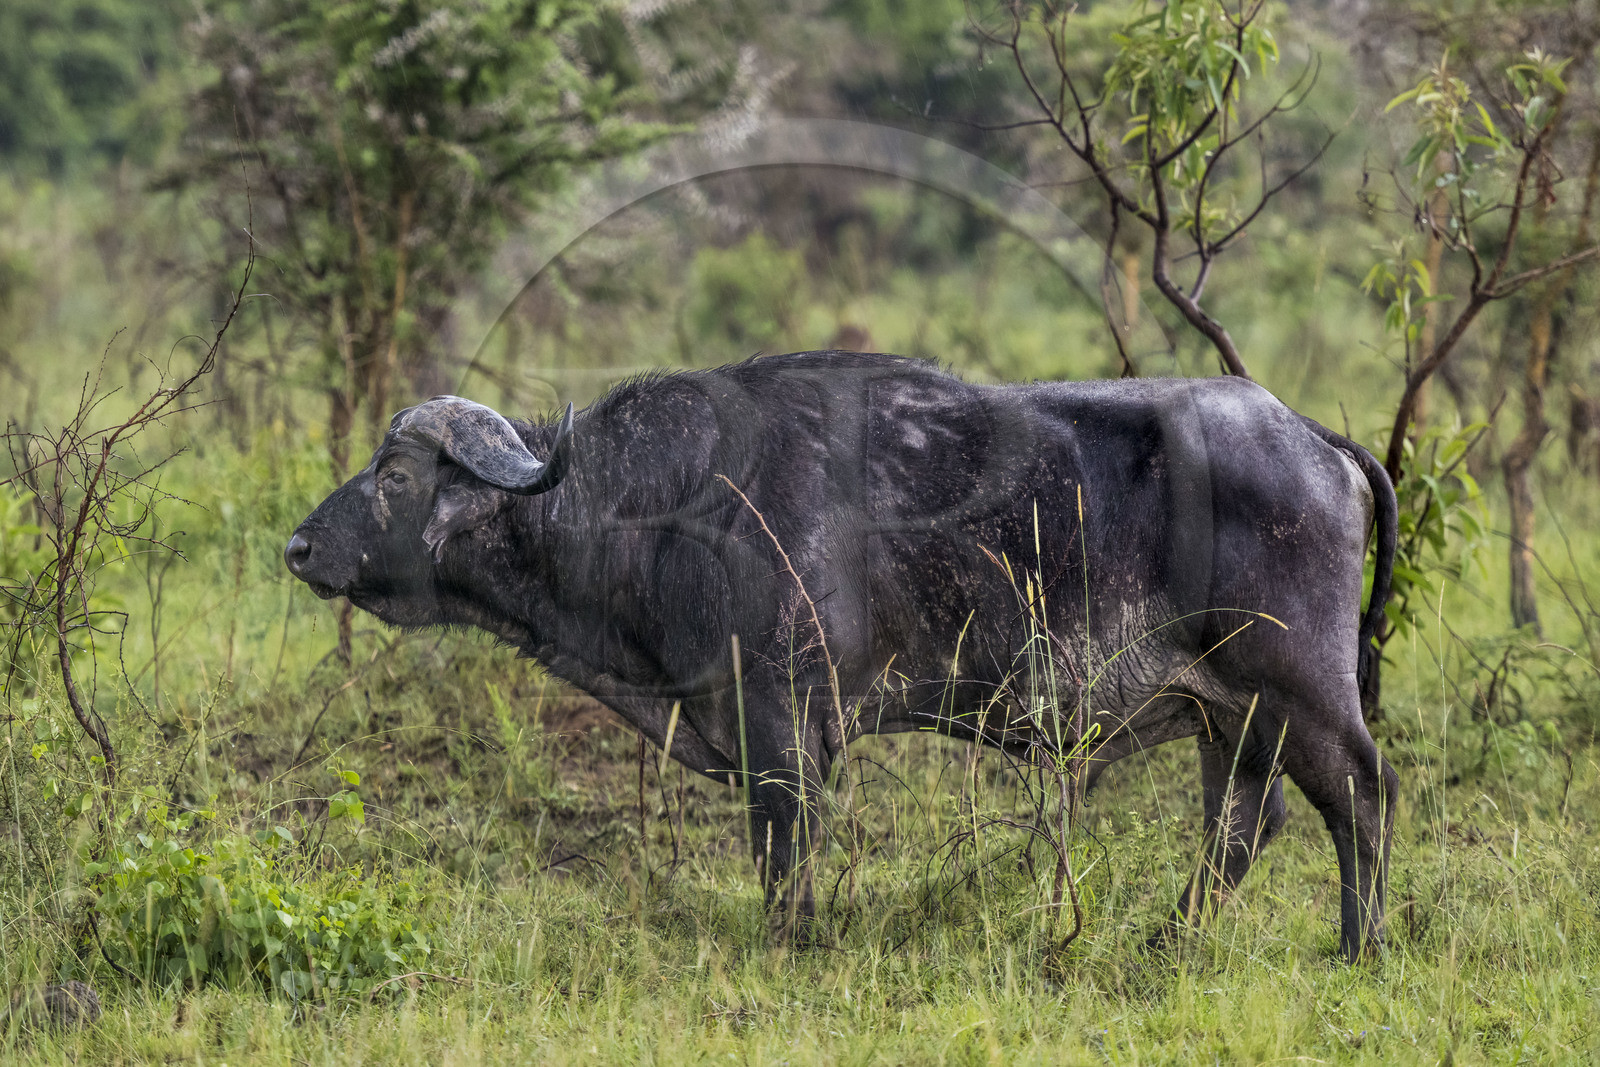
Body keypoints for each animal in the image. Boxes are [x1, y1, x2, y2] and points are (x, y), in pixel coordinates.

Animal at [285, 350, 1398, 961]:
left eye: (393, 473)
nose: (297, 545)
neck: (660, 502)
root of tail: (1312, 435)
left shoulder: (783, 719)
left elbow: (786, 851)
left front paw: (795, 945)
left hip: (1299, 690)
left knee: (1362, 795)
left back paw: (1358, 945)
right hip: (1229, 713)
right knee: (1240, 826)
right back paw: (1170, 939)